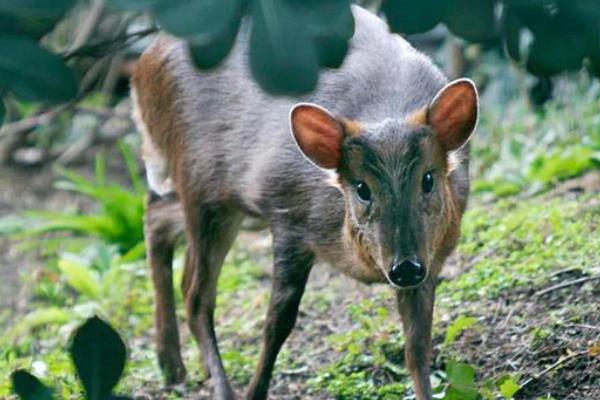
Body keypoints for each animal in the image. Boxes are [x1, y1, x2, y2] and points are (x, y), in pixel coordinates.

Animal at [130, 3, 478, 400]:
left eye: (428, 179)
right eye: (362, 188)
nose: (404, 267)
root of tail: (142, 63)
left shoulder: (433, 255)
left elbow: (417, 345)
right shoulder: (288, 213)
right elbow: (277, 322)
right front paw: (254, 391)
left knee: (155, 213)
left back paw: (172, 366)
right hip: (201, 184)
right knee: (195, 294)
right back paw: (217, 384)